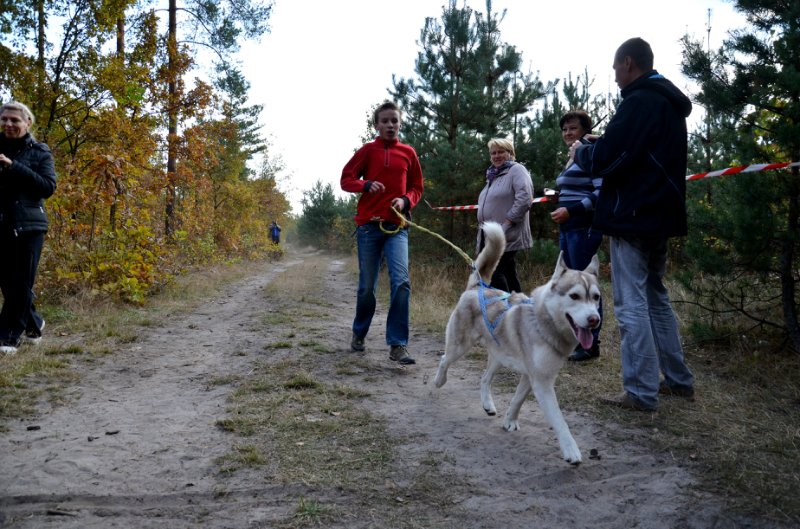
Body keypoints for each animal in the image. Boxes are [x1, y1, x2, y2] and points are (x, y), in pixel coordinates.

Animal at [434, 221, 596, 464]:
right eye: (574, 296)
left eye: (596, 297)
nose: (595, 319)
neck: (543, 323)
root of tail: (478, 287)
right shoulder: (542, 381)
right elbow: (559, 419)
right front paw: (570, 449)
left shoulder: (532, 376)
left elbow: (518, 400)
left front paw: (510, 420)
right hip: (459, 346)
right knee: (445, 359)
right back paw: (439, 381)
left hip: (499, 357)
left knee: (484, 379)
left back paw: (488, 405)